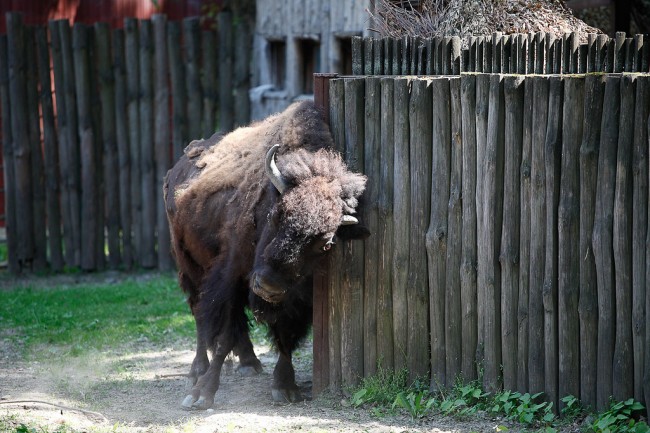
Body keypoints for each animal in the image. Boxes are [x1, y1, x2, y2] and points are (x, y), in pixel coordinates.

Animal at [165, 100, 368, 408]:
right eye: (274, 215)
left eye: (326, 244)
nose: (268, 286)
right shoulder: (230, 278)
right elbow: (223, 335)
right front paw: (202, 394)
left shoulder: (298, 298)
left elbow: (286, 337)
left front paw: (285, 387)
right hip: (188, 266)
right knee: (199, 314)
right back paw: (197, 370)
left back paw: (249, 363)